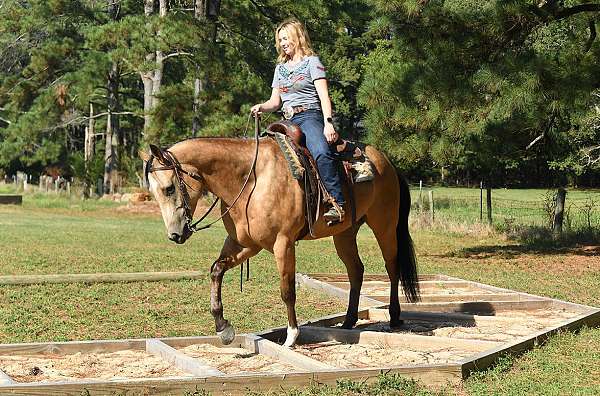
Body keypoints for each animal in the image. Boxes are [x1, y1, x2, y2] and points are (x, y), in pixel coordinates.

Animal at [142, 125, 420, 348]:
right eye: (154, 192)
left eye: (169, 188)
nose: (175, 235)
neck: (250, 180)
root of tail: (386, 162)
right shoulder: (244, 244)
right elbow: (216, 270)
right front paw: (223, 328)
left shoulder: (283, 243)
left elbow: (287, 291)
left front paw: (292, 336)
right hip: (344, 234)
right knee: (356, 270)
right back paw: (349, 321)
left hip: (384, 225)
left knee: (392, 266)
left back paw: (395, 316)